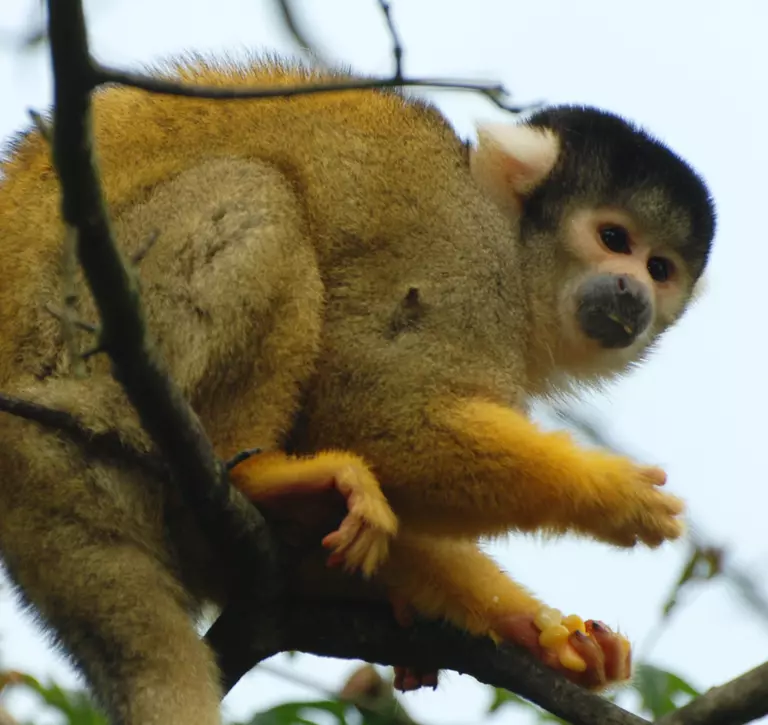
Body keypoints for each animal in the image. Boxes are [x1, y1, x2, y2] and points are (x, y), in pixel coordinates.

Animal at [0, 58, 716, 724]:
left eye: (660, 268)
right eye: (613, 239)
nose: (634, 292)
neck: (513, 252)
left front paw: (532, 629)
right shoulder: (455, 256)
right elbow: (367, 410)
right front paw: (610, 494)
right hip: (80, 345)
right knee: (258, 193)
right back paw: (257, 472)